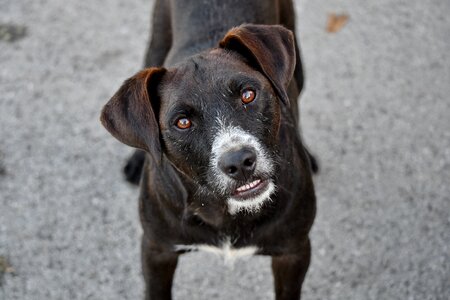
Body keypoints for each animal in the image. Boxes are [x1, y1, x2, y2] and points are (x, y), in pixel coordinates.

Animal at [101, 1, 316, 298]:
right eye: (182, 122)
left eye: (248, 94)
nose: (239, 161)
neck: (225, 211)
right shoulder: (157, 251)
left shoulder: (294, 251)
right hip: (157, 40)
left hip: (298, 65)